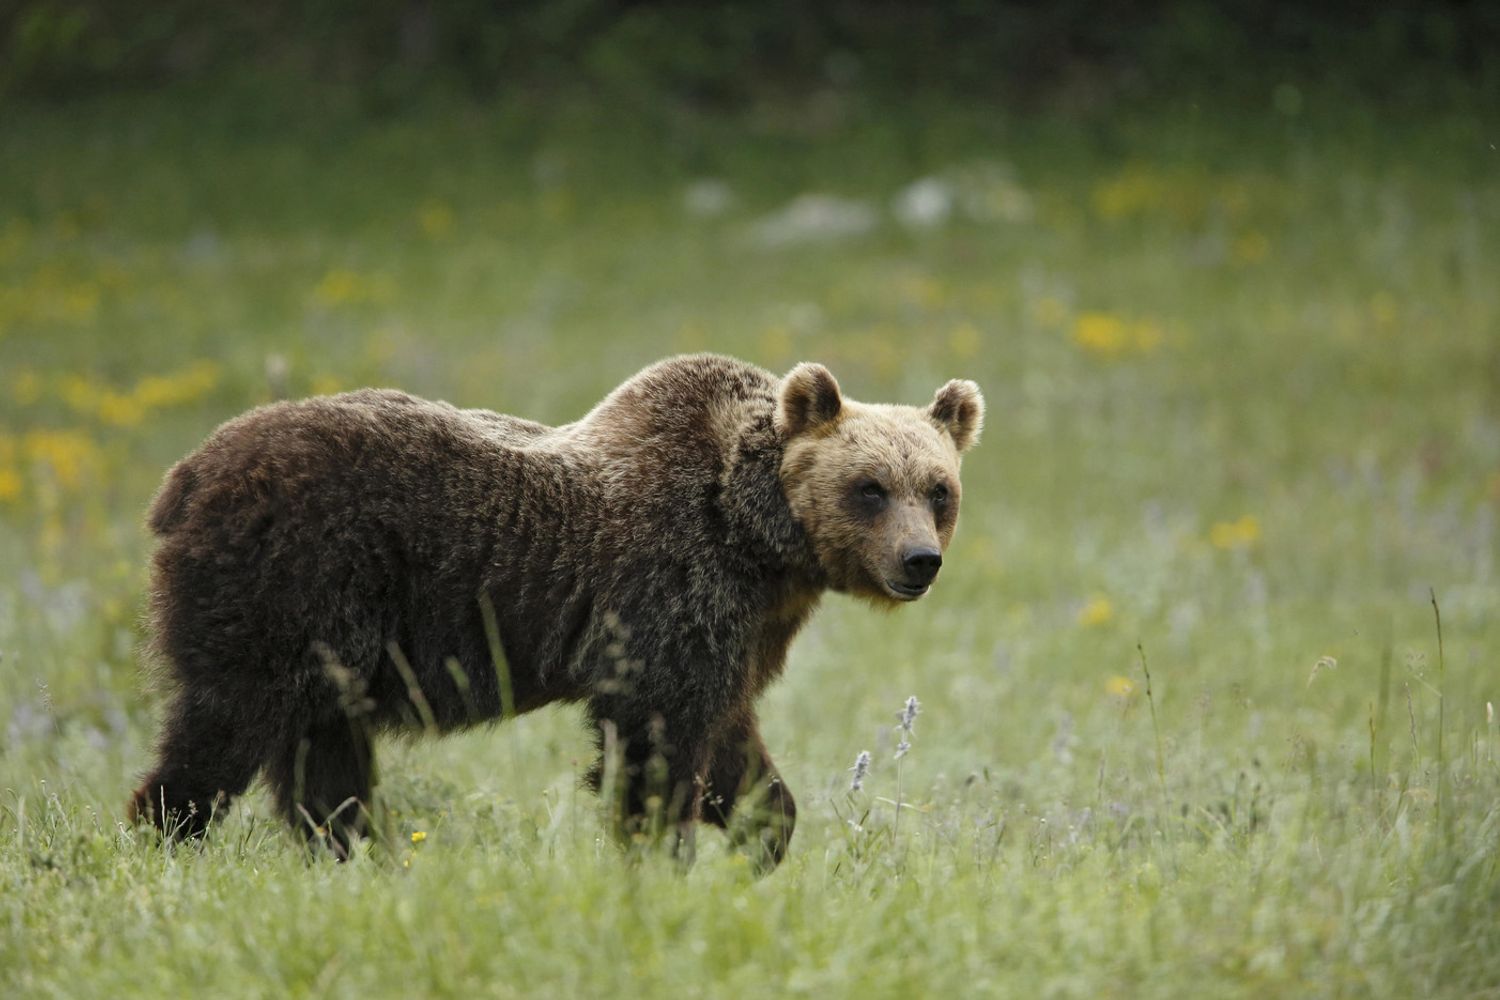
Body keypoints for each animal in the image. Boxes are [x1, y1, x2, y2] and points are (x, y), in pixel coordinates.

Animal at [128, 354, 983, 869]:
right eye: (869, 487)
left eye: (937, 489)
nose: (919, 561)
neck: (760, 536)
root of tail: (184, 477)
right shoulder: (669, 589)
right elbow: (653, 737)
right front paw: (656, 856)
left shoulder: (739, 628)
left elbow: (731, 742)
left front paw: (760, 834)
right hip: (292, 585)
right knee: (224, 728)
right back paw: (165, 837)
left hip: (331, 644)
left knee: (323, 757)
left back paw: (356, 855)